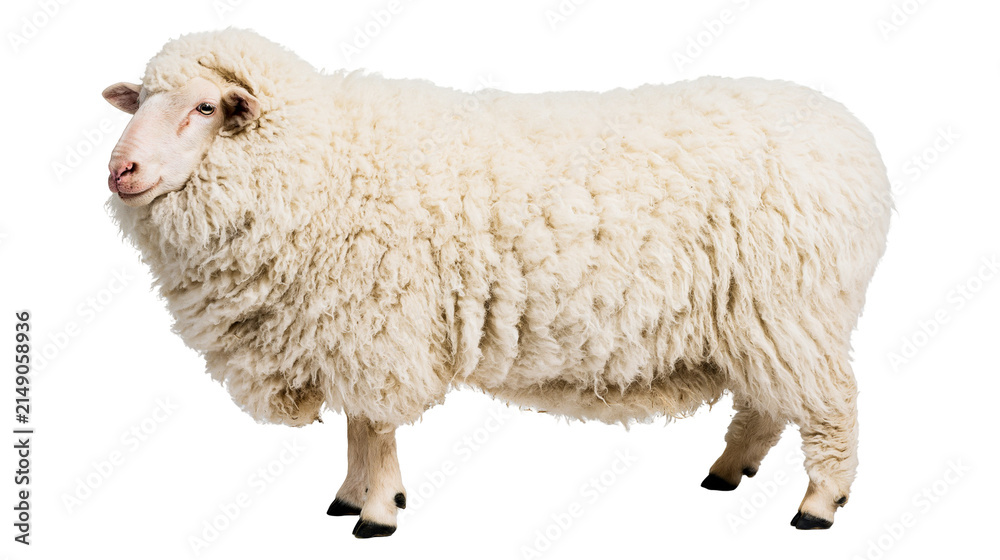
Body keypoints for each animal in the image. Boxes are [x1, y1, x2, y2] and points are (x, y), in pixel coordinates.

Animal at [102, 29, 891, 538]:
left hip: (793, 307)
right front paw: (354, 497)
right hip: (762, 317)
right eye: (138, 102)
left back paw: (818, 504)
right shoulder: (352, 329)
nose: (121, 171)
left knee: (830, 407)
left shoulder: (379, 325)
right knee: (767, 404)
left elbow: (374, 427)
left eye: (205, 107)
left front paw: (375, 513)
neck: (324, 164)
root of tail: (852, 139)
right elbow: (360, 425)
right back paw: (728, 471)